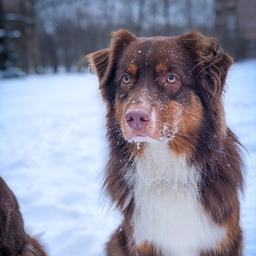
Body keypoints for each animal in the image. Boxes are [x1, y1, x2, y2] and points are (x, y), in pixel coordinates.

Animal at [86, 29, 244, 256]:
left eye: (171, 78)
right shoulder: (143, 243)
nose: (135, 117)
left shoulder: (222, 240)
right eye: (125, 78)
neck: (165, 171)